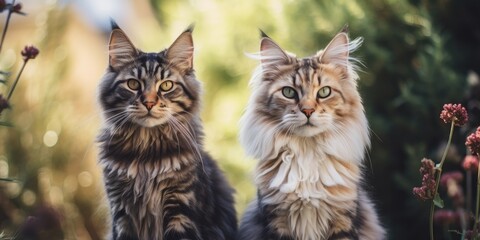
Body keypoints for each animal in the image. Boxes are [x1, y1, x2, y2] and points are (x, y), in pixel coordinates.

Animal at [97, 23, 236, 240]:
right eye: (133, 84)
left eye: (166, 85)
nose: (149, 102)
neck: (146, 154)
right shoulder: (121, 213)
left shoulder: (181, 207)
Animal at [237, 27, 386, 239]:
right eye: (289, 92)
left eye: (324, 92)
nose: (307, 111)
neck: (307, 151)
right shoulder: (276, 220)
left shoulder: (343, 220)